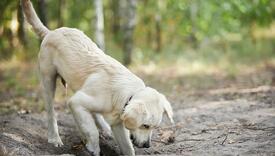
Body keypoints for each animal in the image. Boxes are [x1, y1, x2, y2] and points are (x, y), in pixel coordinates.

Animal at [21, 0, 174, 155]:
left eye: (154, 127)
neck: (127, 95)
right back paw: (55, 138)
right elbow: (92, 131)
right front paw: (93, 148)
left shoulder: (117, 125)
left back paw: (103, 128)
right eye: (145, 125)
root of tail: (51, 32)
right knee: (52, 112)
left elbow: (127, 148)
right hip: (48, 80)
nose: (147, 146)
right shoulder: (76, 102)